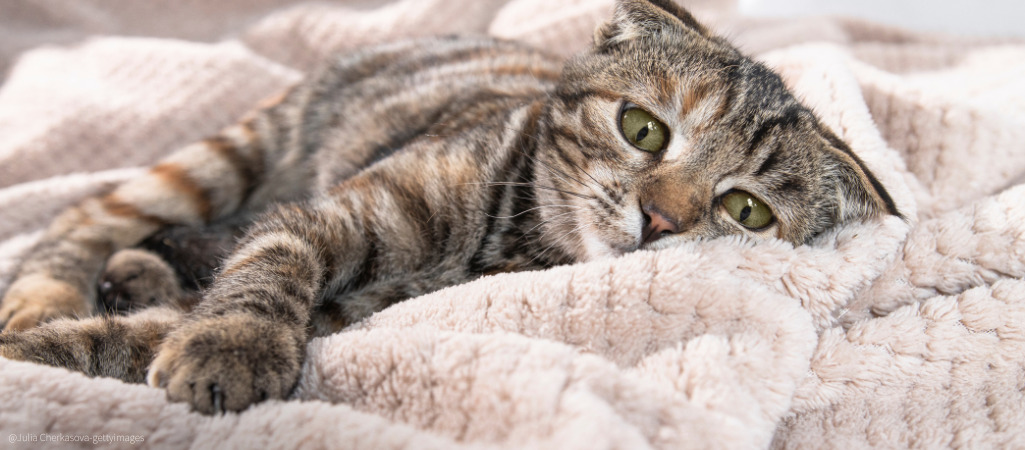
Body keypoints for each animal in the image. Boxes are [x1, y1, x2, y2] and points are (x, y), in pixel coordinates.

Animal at [0, 0, 897, 416]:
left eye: (745, 211)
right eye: (642, 129)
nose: (662, 221)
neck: (509, 244)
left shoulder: (348, 317)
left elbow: (133, 338)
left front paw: (69, 348)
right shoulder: (327, 219)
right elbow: (269, 258)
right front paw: (233, 343)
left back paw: (135, 276)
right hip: (229, 156)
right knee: (86, 219)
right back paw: (48, 294)